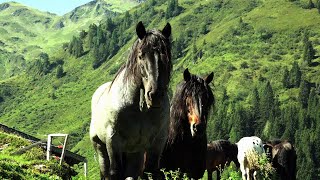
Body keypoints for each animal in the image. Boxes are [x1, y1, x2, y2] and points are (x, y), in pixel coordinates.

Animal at [89, 21, 171, 179]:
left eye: (166, 55)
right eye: (141, 55)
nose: (155, 95)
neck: (140, 110)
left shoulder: (157, 142)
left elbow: (152, 171)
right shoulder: (113, 140)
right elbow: (115, 172)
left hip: (134, 153)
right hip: (101, 148)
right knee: (106, 172)